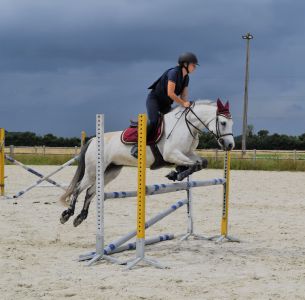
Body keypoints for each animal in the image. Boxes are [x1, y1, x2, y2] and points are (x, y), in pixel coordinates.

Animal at [60, 99, 235, 226]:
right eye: (223, 123)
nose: (230, 145)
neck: (186, 127)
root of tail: (93, 140)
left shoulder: (188, 154)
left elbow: (201, 163)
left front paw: (176, 173)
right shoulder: (171, 154)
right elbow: (193, 165)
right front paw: (176, 174)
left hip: (111, 171)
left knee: (90, 191)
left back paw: (80, 217)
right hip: (92, 170)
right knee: (78, 188)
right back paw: (67, 214)